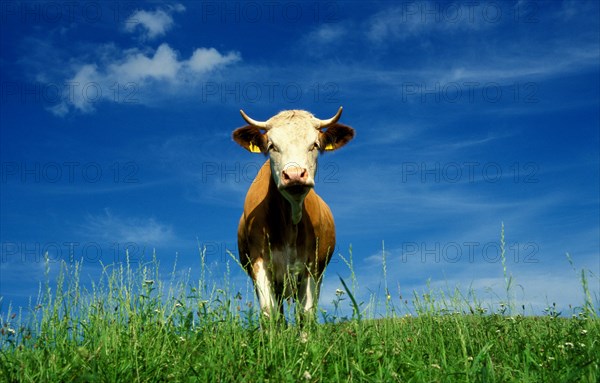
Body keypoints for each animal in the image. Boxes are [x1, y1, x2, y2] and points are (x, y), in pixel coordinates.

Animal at [232, 106, 354, 322]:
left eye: (314, 145)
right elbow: (269, 311)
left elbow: (306, 313)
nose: (295, 175)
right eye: (272, 145)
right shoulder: (259, 263)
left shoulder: (311, 266)